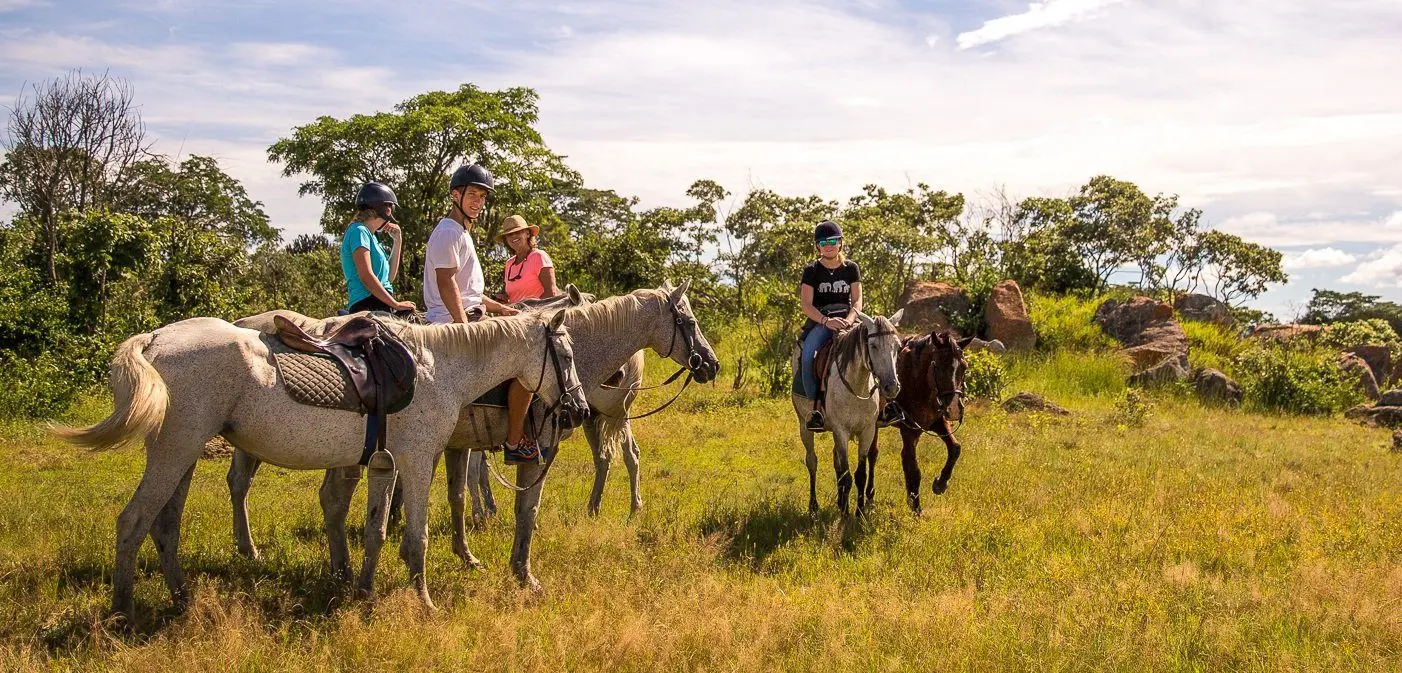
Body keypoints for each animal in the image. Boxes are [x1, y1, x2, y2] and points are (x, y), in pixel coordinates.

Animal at [51, 308, 588, 614]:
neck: (439, 368)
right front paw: (425, 603)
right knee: (134, 522)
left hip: (181, 455)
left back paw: (182, 599)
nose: (579, 410)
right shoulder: (418, 461)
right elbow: (416, 537)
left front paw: (365, 592)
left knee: (165, 526)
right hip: (175, 451)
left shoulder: (385, 464)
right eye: (564, 355)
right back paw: (123, 612)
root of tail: (157, 338)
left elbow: (375, 529)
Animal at [796, 311, 902, 515]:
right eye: (873, 345)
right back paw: (814, 505)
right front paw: (845, 513)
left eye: (897, 346)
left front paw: (859, 511)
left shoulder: (868, 431)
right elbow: (846, 475)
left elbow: (860, 473)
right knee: (812, 461)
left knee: (836, 460)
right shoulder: (841, 431)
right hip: (804, 426)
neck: (857, 386)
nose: (892, 387)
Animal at [858, 332, 970, 515]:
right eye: (937, 366)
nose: (954, 409)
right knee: (872, 454)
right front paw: (916, 508)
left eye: (964, 367)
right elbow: (913, 468)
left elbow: (955, 448)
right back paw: (869, 496)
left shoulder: (935, 422)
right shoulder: (909, 430)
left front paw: (940, 484)